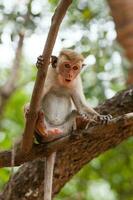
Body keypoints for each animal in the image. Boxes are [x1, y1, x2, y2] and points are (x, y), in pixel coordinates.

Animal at [24, 48, 112, 200]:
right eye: (66, 65)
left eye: (75, 68)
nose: (70, 74)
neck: (62, 82)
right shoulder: (50, 74)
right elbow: (38, 95)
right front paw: (40, 61)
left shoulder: (76, 82)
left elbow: (81, 106)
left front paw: (101, 117)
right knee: (37, 112)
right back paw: (40, 125)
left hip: (65, 129)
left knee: (76, 112)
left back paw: (81, 123)